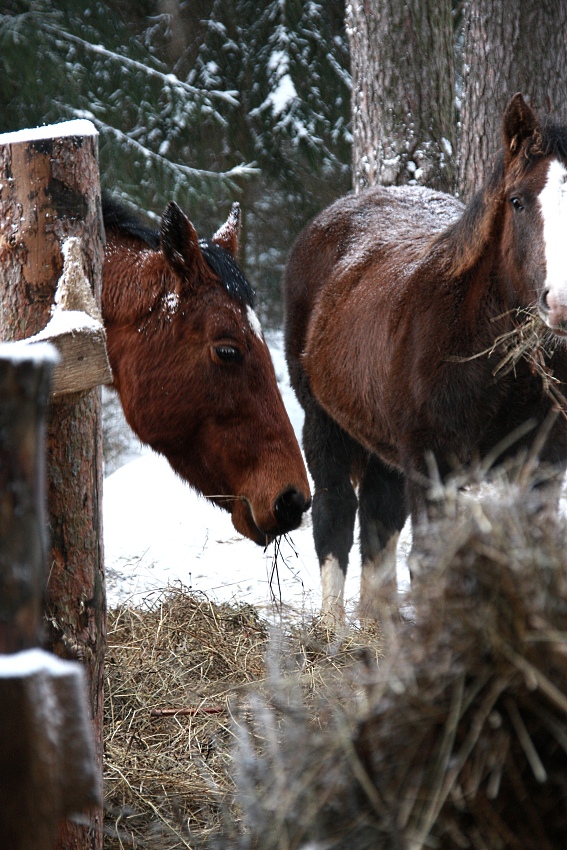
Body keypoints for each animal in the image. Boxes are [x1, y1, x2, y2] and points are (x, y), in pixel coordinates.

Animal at [286, 94, 567, 624]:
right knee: (336, 517)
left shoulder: (542, 468)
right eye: (517, 200)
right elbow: (432, 562)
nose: (559, 301)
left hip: (385, 441)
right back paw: (332, 629)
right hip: (324, 423)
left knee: (379, 518)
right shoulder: (434, 462)